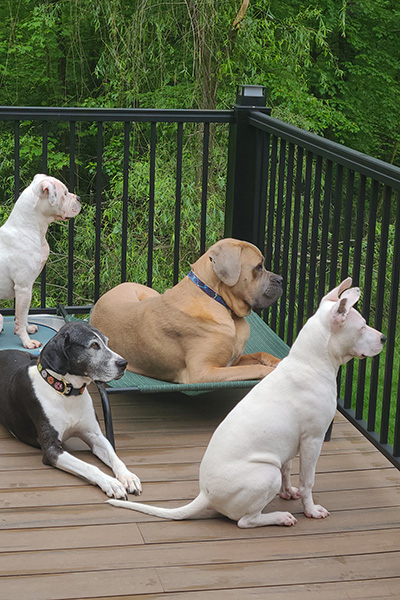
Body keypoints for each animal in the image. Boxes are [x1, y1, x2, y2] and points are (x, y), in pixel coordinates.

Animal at [0, 175, 81, 346]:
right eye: (64, 193)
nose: (78, 198)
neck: (29, 227)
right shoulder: (23, 288)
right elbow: (21, 316)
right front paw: (27, 341)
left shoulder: (27, 289)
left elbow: (24, 316)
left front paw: (28, 329)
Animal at [0, 322, 142, 500]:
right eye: (94, 345)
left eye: (107, 342)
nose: (124, 363)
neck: (66, 392)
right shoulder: (52, 450)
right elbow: (89, 466)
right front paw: (111, 483)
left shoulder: (95, 436)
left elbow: (114, 457)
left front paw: (128, 477)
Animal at [91, 237, 284, 382]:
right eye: (258, 267)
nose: (281, 279)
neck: (216, 299)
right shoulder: (203, 373)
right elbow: (254, 368)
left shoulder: (233, 361)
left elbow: (261, 354)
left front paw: (280, 362)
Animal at [108, 278, 386, 528]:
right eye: (362, 327)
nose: (384, 338)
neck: (309, 362)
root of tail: (205, 495)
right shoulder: (312, 441)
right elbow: (308, 482)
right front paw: (311, 510)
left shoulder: (289, 445)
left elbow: (288, 470)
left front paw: (288, 493)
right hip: (266, 474)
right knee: (245, 521)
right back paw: (279, 518)